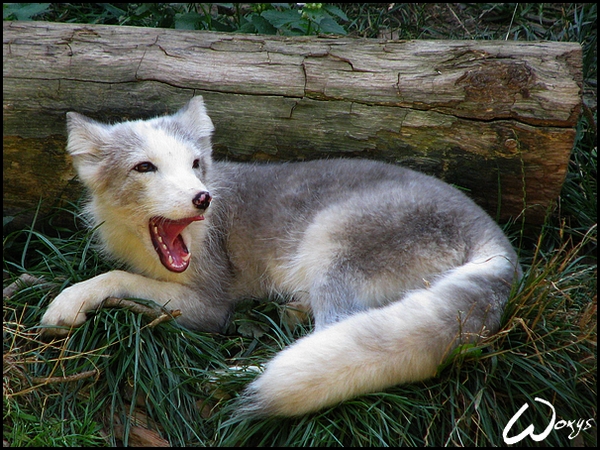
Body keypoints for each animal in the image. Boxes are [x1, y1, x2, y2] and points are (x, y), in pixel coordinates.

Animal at [42, 96, 520, 416]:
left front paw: (69, 300)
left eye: (196, 163)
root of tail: (495, 237)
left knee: (331, 331)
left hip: (332, 243)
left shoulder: (211, 303)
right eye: (144, 167)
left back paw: (240, 376)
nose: (203, 199)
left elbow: (116, 278)